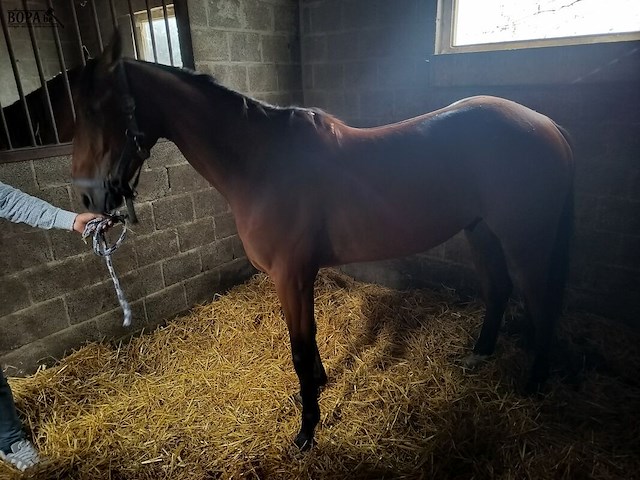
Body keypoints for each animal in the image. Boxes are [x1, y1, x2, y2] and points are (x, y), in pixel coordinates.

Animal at [70, 34, 574, 450]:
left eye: (100, 111)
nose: (90, 199)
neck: (264, 163)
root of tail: (547, 123)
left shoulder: (290, 275)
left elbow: (298, 347)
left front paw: (306, 431)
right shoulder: (300, 277)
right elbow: (308, 343)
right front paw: (316, 389)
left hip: (524, 239)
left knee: (540, 302)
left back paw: (533, 384)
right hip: (480, 230)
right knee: (498, 289)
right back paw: (478, 355)